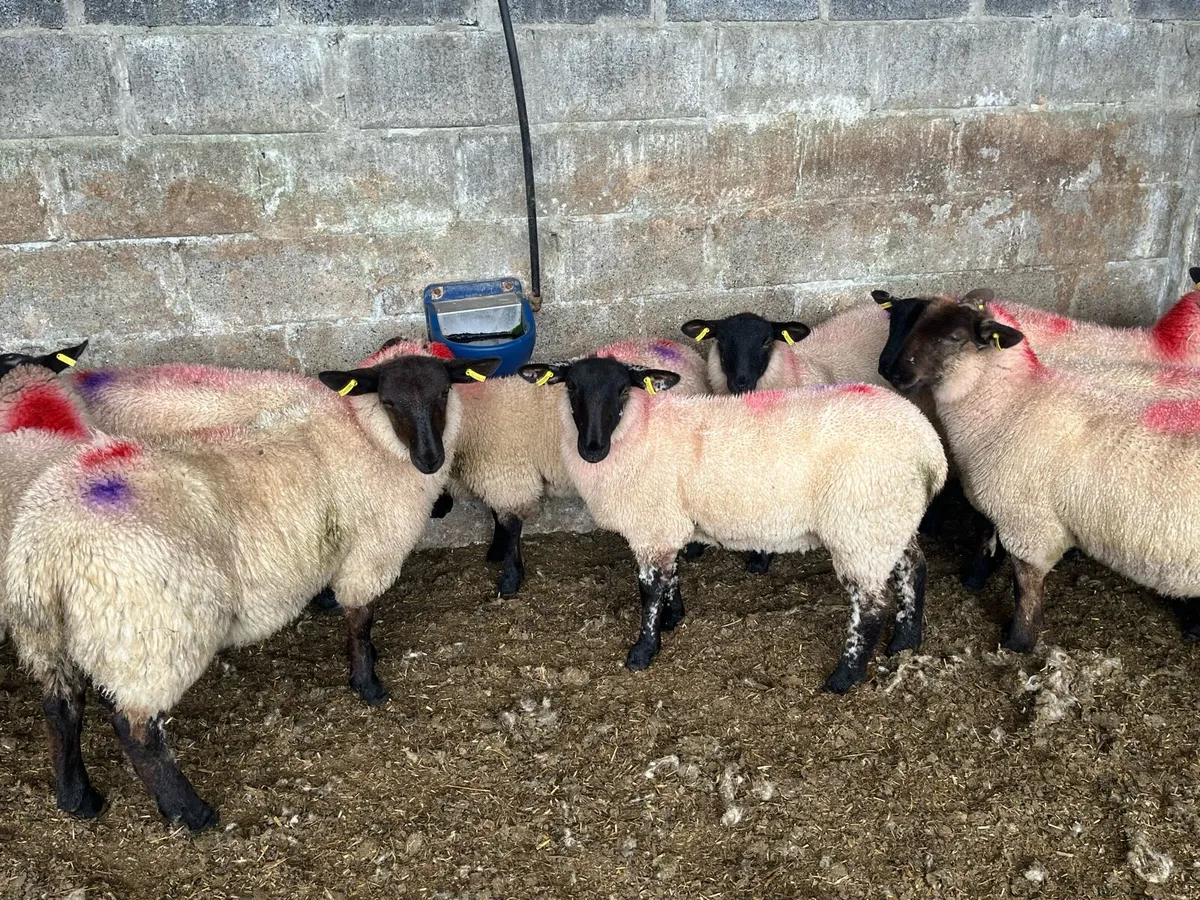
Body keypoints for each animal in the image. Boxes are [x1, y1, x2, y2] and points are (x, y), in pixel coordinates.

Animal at [3, 343, 499, 830]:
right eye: (389, 401)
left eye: (444, 393)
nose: (430, 460)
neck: (363, 432)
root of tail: (46, 546)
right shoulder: (369, 554)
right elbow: (360, 621)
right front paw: (368, 684)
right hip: (154, 634)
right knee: (136, 728)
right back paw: (190, 812)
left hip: (47, 636)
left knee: (62, 706)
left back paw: (77, 797)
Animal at [448, 337, 708, 596]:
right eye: (570, 387)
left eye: (624, 390)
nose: (593, 449)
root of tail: (682, 350)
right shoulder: (498, 478)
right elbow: (496, 515)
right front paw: (496, 551)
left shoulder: (510, 478)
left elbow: (511, 528)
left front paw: (510, 579)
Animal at [517, 356, 947, 692]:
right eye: (571, 387)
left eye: (623, 389)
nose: (592, 449)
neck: (643, 430)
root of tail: (929, 448)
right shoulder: (669, 523)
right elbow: (670, 575)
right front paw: (673, 618)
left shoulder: (651, 524)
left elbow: (649, 589)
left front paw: (643, 650)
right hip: (890, 521)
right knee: (914, 568)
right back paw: (906, 640)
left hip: (861, 525)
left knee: (871, 605)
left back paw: (845, 677)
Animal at [877, 294, 1200, 653]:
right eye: (914, 324)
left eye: (954, 338)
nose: (891, 371)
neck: (1013, 402)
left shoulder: (1029, 524)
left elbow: (1025, 587)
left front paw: (1018, 641)